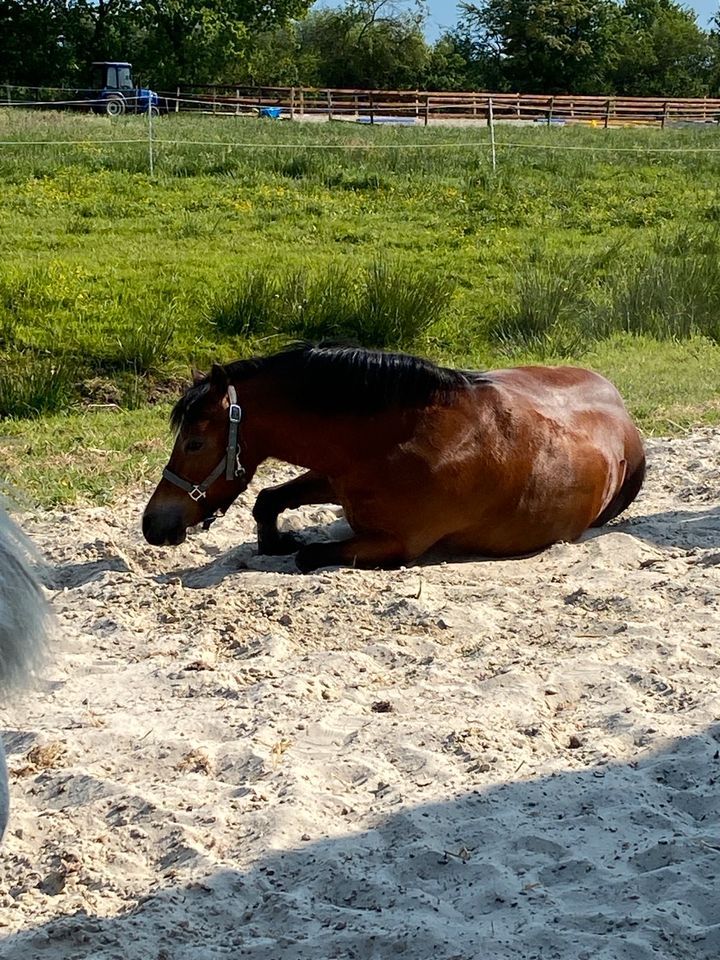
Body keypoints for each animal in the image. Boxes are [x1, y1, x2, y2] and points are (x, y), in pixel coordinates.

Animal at [142, 344, 648, 568]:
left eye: (194, 443)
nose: (153, 526)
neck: (402, 439)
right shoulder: (333, 474)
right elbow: (267, 500)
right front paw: (276, 540)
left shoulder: (396, 544)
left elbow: (310, 556)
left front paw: (290, 545)